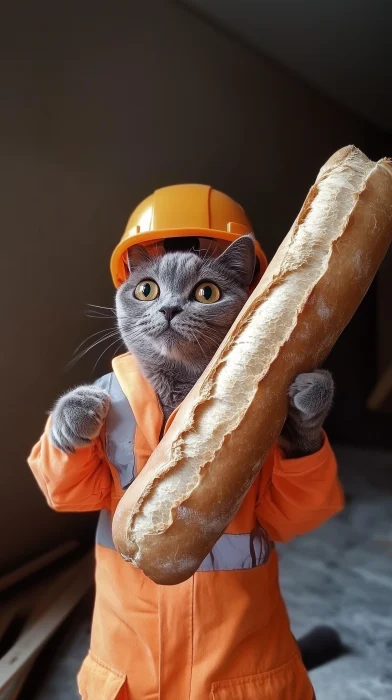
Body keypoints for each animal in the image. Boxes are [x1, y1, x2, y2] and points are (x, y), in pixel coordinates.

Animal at [49, 237, 334, 460]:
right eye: (146, 289)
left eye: (207, 292)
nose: (169, 309)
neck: (176, 382)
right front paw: (74, 410)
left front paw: (315, 389)